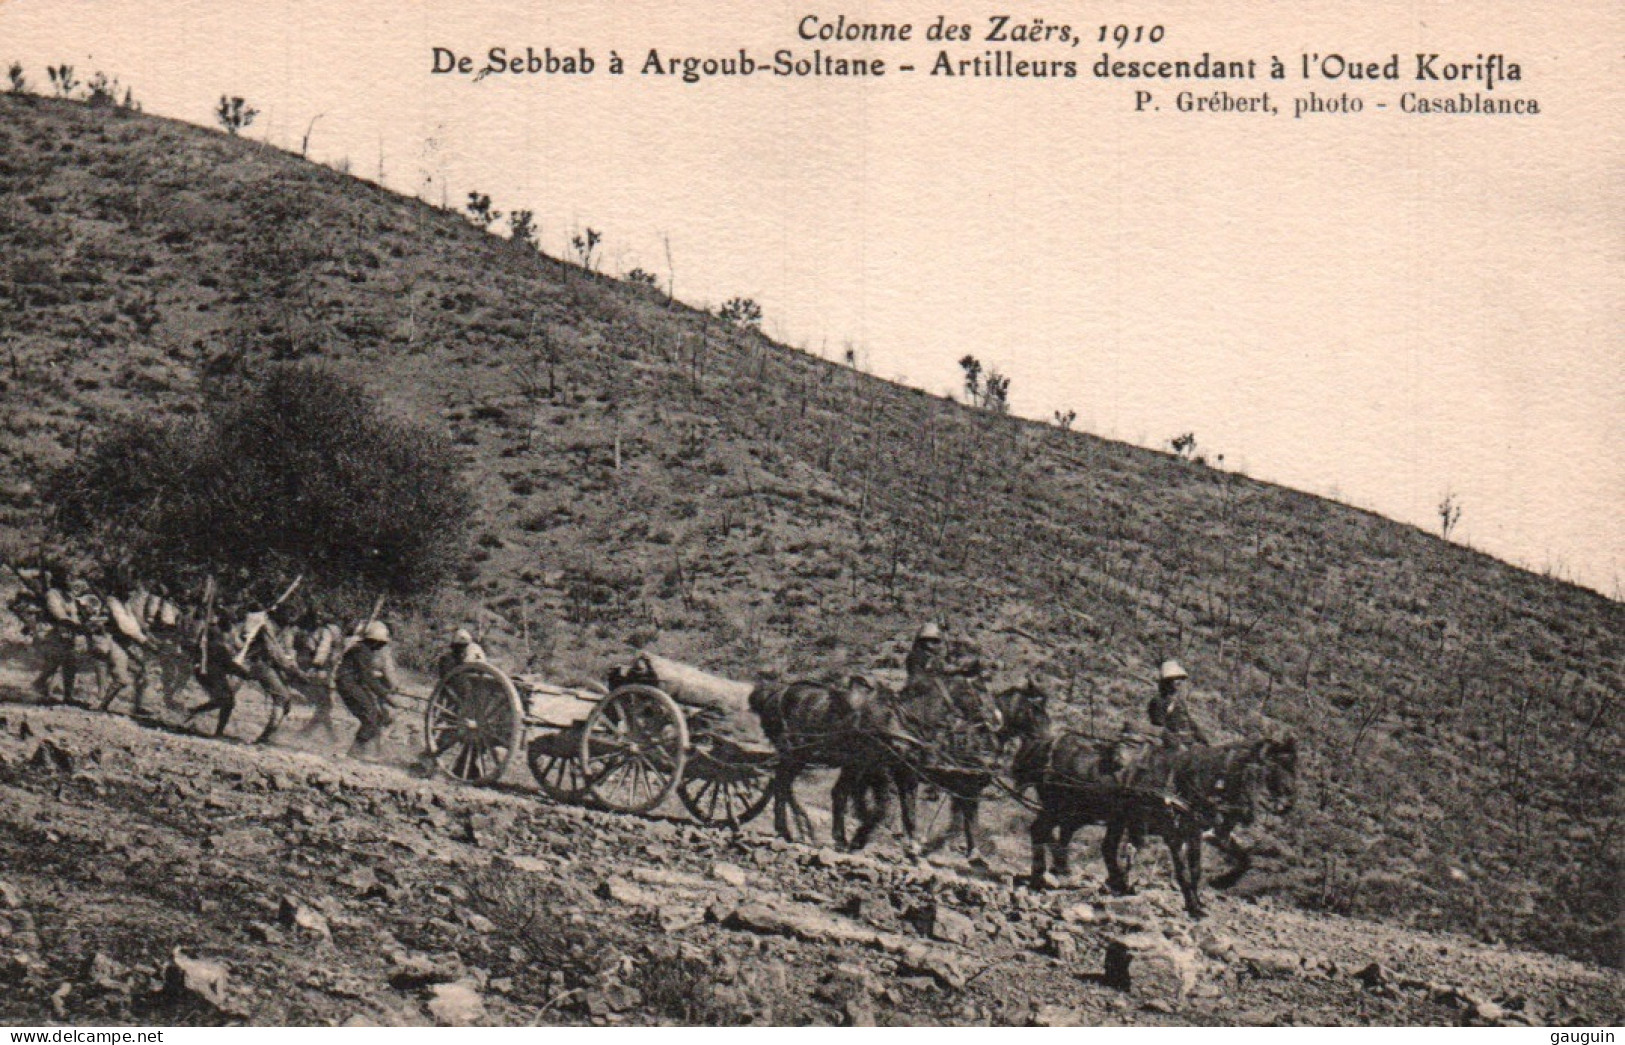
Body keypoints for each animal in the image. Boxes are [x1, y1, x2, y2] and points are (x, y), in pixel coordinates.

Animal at [747, 669, 1001, 851]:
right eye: (979, 692)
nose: (996, 720)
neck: (897, 720)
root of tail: (776, 694)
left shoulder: (881, 768)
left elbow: (898, 806)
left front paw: (853, 838)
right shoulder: (885, 770)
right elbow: (886, 808)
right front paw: (864, 837)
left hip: (804, 757)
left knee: (785, 784)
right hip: (795, 754)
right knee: (782, 783)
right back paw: (787, 829)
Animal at [832, 676, 1046, 864]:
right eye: (1036, 708)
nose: (1045, 740)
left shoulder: (961, 788)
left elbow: (961, 822)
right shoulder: (961, 786)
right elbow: (962, 821)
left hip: (861, 768)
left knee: (843, 793)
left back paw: (844, 839)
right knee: (858, 797)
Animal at [1027, 731, 1293, 923]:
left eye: (1290, 770)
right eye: (1261, 773)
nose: (1286, 805)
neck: (1188, 779)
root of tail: (1047, 744)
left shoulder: (1194, 832)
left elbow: (1199, 869)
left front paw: (1204, 897)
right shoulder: (1173, 834)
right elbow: (1182, 871)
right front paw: (1193, 905)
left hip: (1092, 813)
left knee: (1089, 842)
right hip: (1062, 808)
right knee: (1041, 831)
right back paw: (1040, 877)